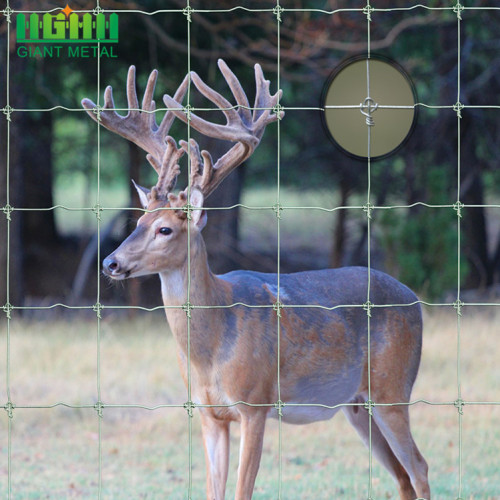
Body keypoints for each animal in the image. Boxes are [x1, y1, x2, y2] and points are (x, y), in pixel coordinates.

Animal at [82, 59, 430, 500]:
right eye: (138, 222)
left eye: (165, 229)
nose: (110, 262)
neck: (211, 349)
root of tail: (414, 299)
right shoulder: (209, 413)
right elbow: (213, 491)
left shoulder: (255, 403)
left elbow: (241, 491)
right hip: (357, 404)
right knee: (402, 475)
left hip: (393, 387)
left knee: (419, 467)